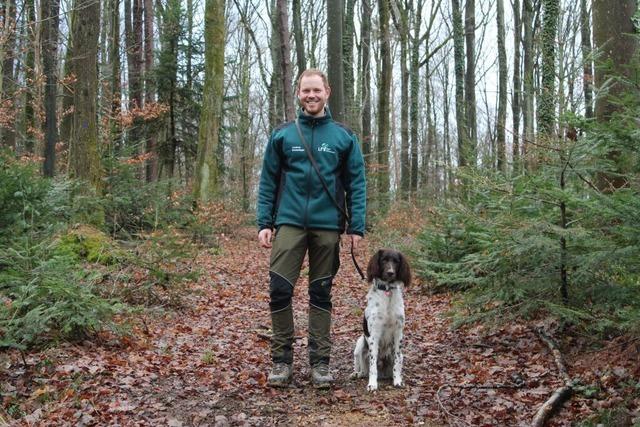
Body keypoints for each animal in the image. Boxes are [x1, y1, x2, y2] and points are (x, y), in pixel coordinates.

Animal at [352, 249, 412, 392]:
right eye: (384, 260)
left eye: (396, 261)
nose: (390, 272)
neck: (387, 291)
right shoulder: (374, 334)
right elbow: (372, 364)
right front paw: (372, 384)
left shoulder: (398, 333)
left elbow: (396, 361)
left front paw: (397, 381)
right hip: (359, 345)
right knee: (363, 370)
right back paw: (357, 374)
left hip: (400, 355)